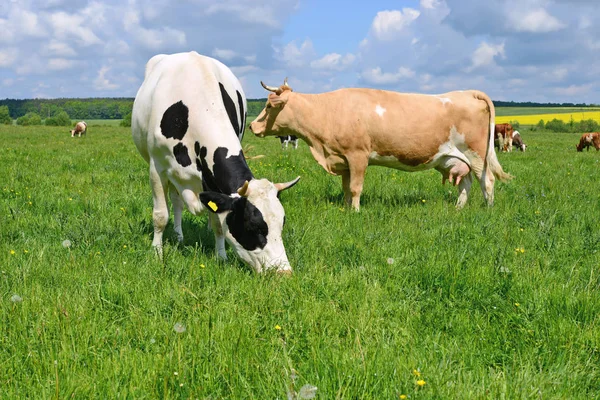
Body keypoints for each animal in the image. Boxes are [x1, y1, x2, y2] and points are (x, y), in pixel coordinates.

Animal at [132, 51, 300, 274]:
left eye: (282, 224)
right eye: (252, 226)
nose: (283, 273)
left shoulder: (210, 180)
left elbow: (219, 223)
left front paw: (221, 256)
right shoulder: (156, 168)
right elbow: (160, 216)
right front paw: (157, 254)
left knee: (179, 201)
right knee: (175, 203)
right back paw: (177, 236)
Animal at [250, 76, 510, 211]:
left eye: (270, 105)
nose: (252, 126)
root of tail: (467, 92)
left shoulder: (358, 155)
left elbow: (356, 188)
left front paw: (355, 212)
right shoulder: (344, 159)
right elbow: (346, 188)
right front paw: (347, 209)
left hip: (476, 154)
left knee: (487, 181)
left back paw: (488, 209)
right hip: (455, 158)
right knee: (465, 183)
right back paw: (458, 209)